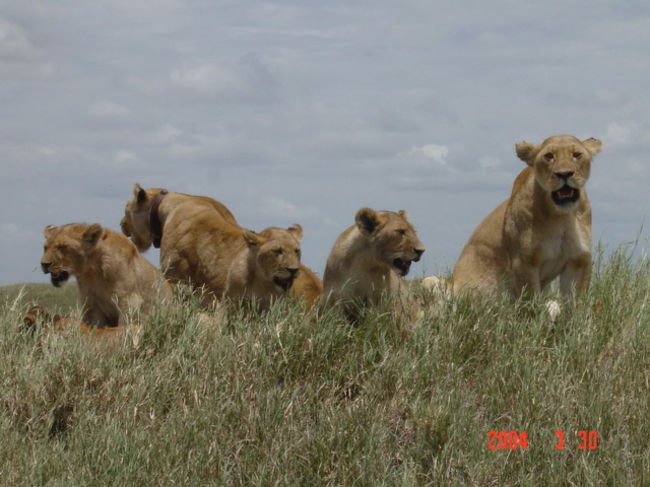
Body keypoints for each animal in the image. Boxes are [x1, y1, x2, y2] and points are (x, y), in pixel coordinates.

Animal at [39, 224, 172, 330]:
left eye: (62, 247)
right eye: (45, 247)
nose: (44, 264)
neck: (93, 271)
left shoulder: (129, 301)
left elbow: (123, 325)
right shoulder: (92, 304)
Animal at [446, 133, 604, 308]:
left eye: (576, 154)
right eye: (549, 156)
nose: (564, 174)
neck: (562, 216)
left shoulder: (578, 260)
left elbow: (575, 305)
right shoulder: (524, 262)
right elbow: (530, 303)